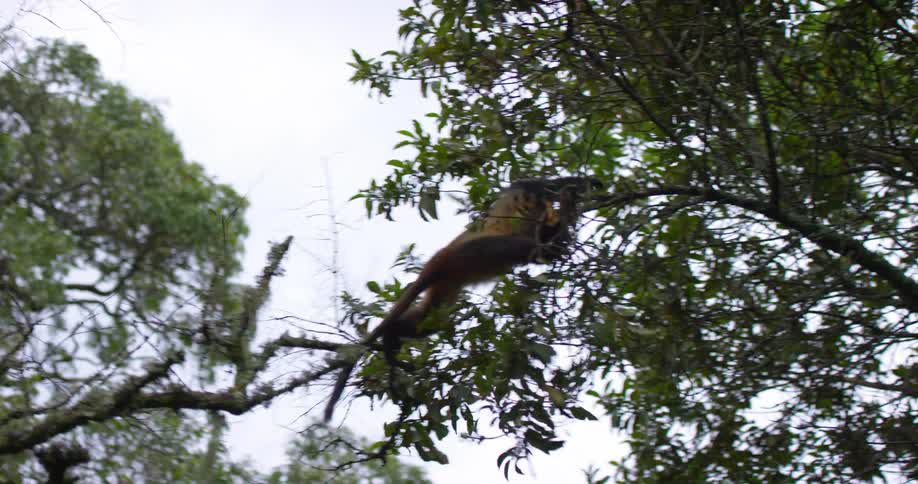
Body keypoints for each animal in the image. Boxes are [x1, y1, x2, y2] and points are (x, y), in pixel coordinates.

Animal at [323, 177, 599, 422]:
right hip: (474, 251)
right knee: (527, 248)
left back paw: (391, 339)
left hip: (448, 282)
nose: (540, 202)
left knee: (431, 319)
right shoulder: (527, 192)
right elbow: (542, 227)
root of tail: (440, 258)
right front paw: (579, 194)